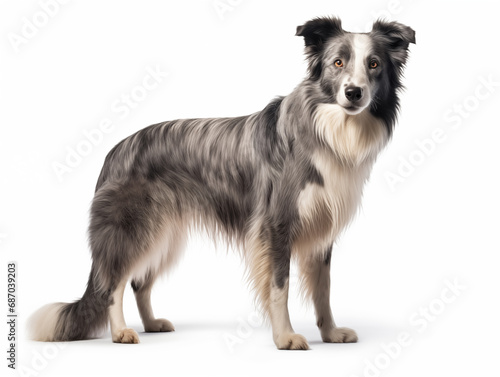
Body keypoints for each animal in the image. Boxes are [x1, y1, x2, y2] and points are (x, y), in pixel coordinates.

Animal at [29, 16, 416, 348]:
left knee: (140, 282)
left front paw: (331, 333)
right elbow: (280, 287)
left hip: (165, 236)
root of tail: (114, 152)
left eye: (374, 65)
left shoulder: (322, 228)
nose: (354, 93)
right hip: (134, 230)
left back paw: (151, 324)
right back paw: (121, 332)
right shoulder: (276, 225)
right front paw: (285, 338)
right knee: (113, 283)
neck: (331, 129)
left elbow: (324, 290)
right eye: (337, 63)